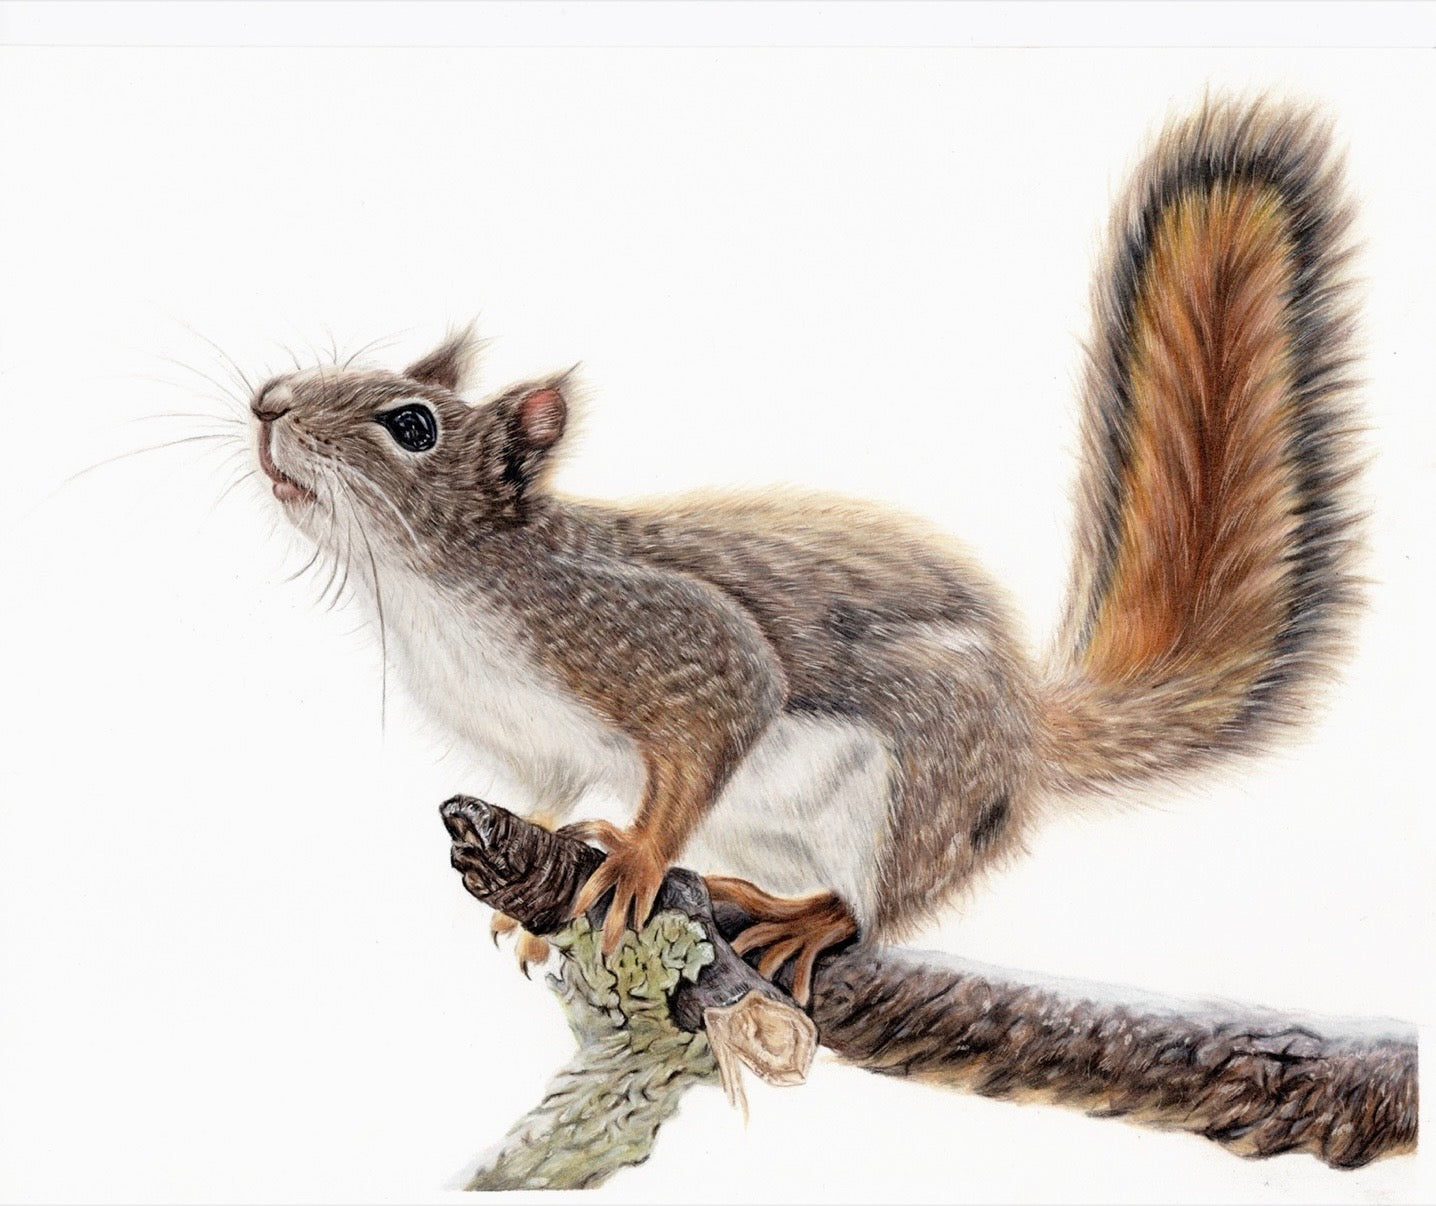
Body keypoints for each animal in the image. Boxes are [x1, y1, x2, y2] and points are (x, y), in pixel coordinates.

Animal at [247, 97, 1361, 1007]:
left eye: (412, 426)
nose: (268, 403)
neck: (435, 592)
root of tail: (1025, 729)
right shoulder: (536, 746)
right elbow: (550, 798)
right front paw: (530, 890)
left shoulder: (663, 643)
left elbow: (725, 709)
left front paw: (636, 859)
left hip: (917, 784)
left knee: (888, 901)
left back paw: (810, 918)